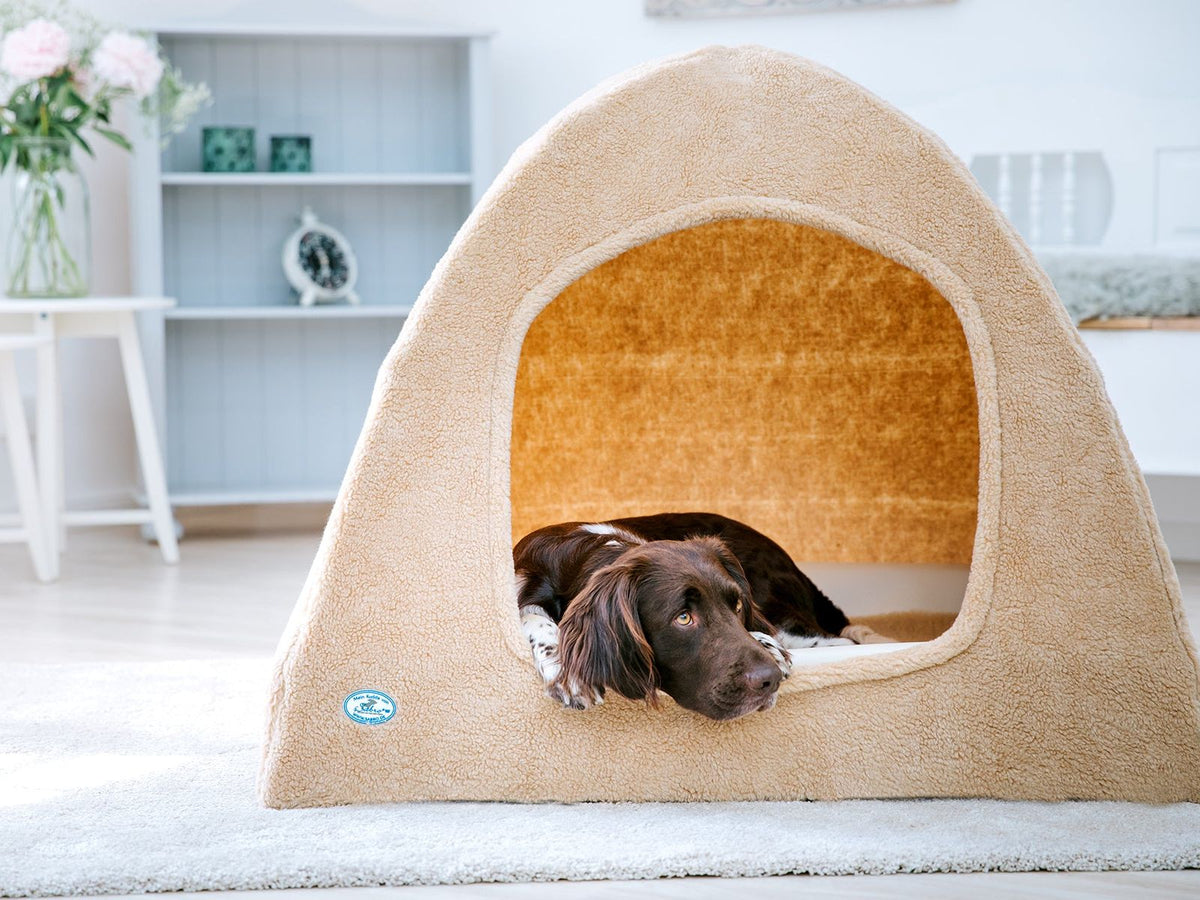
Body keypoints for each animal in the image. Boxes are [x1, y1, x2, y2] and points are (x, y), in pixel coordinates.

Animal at [511, 511, 888, 724]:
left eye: (737, 606)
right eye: (683, 618)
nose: (768, 679)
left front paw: (766, 644)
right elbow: (528, 614)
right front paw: (562, 663)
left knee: (840, 638)